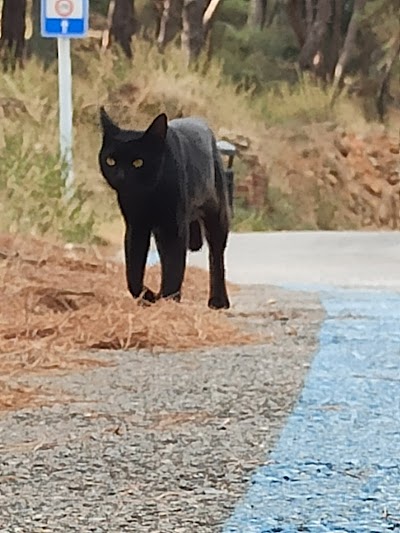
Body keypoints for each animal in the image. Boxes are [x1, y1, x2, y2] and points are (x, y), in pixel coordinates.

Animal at [97, 107, 231, 308]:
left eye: (138, 162)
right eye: (111, 160)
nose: (120, 176)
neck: (149, 195)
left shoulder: (174, 227)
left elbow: (174, 265)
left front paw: (169, 299)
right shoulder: (136, 227)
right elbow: (133, 270)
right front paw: (148, 295)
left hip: (216, 214)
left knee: (216, 256)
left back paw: (218, 300)